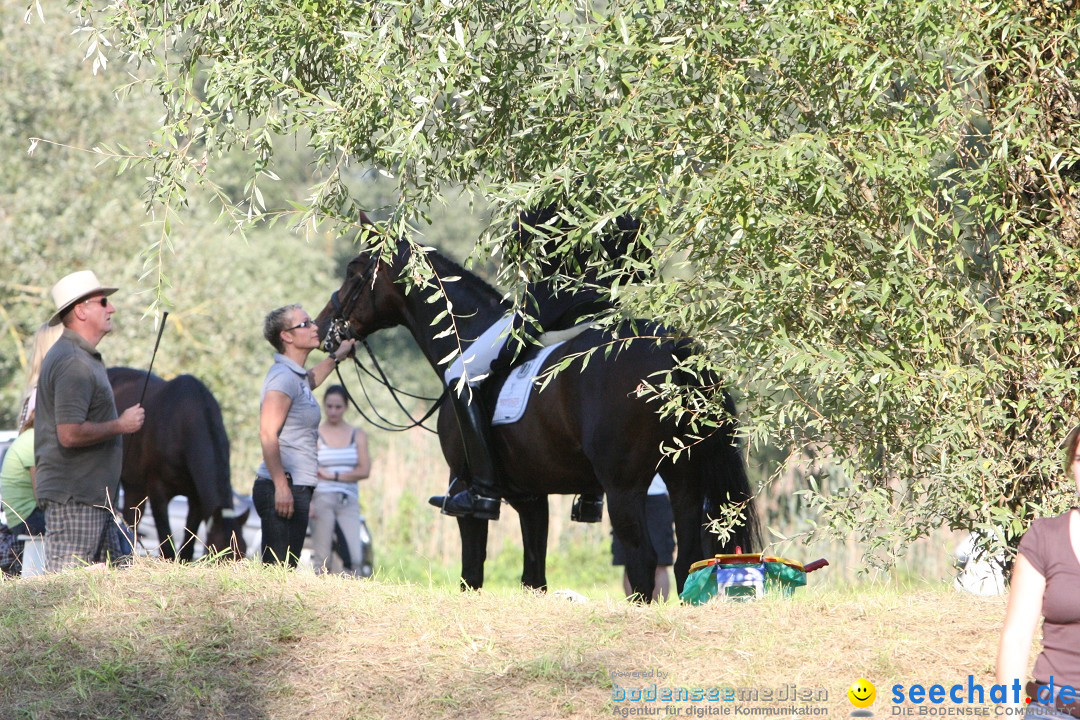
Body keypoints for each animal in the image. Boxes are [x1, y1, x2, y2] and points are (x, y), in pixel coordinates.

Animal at [106, 369, 247, 561]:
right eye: (218, 553)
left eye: (243, 552)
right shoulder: (157, 492)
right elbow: (167, 545)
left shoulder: (196, 499)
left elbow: (188, 546)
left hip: (135, 486)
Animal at [308, 239, 756, 600]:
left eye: (353, 273)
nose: (320, 327)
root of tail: (674, 350)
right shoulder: (531, 497)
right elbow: (533, 578)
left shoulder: (467, 492)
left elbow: (472, 574)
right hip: (684, 479)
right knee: (687, 560)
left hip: (625, 488)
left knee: (644, 562)